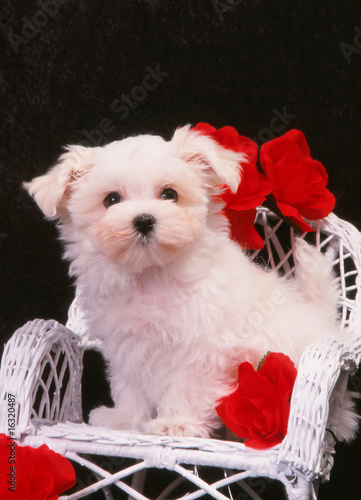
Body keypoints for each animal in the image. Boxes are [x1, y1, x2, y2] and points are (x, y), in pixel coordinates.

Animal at [24, 126, 354, 442]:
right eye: (111, 200)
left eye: (170, 194)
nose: (144, 220)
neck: (151, 275)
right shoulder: (128, 344)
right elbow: (130, 385)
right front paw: (126, 419)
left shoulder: (203, 348)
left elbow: (187, 387)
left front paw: (176, 424)